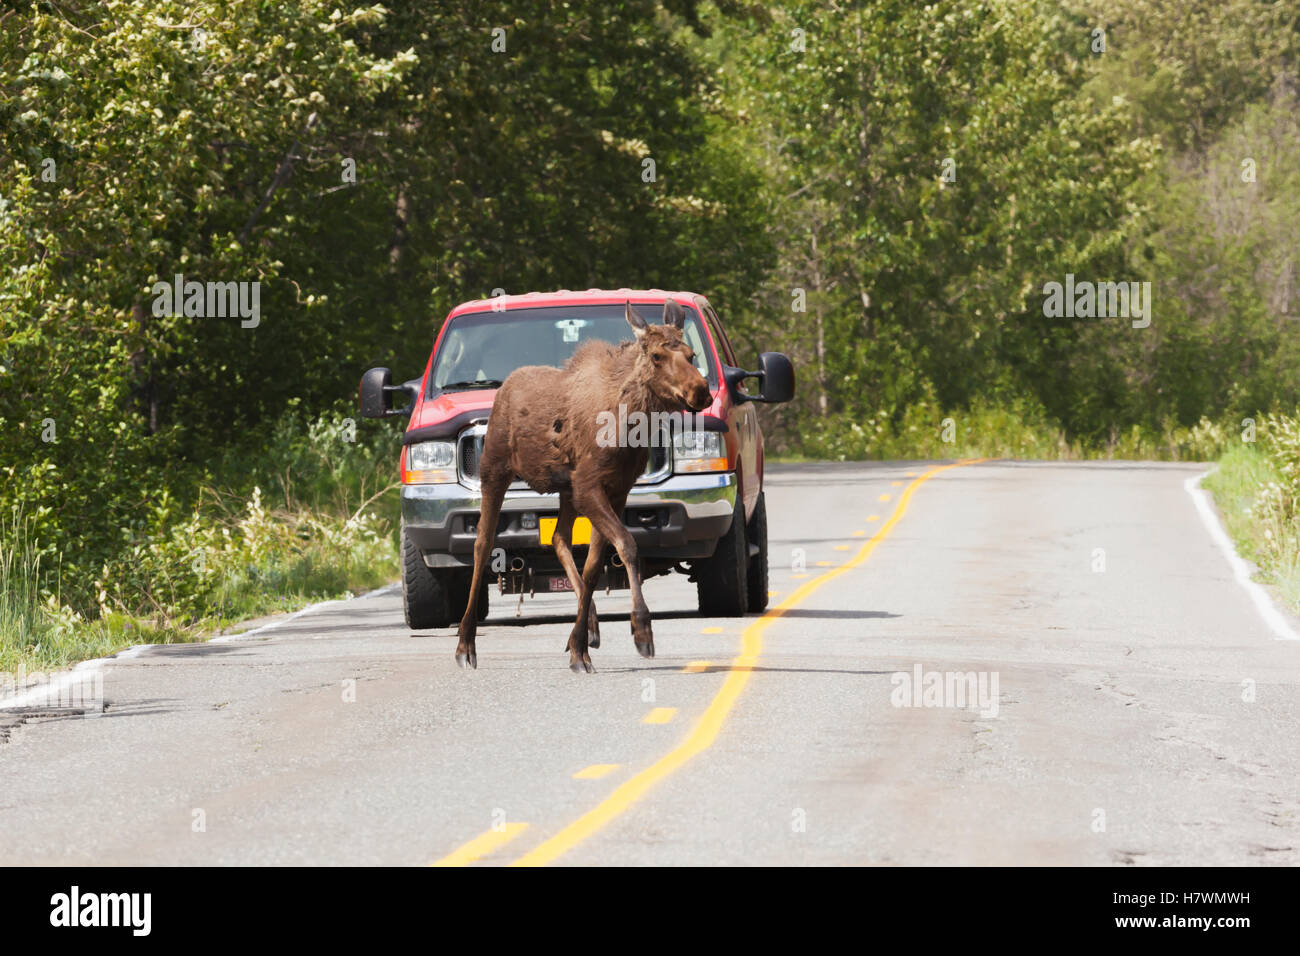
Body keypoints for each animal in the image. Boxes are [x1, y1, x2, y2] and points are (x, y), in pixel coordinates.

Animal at [455, 298, 713, 672]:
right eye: (656, 356)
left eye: (691, 354)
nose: (701, 391)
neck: (628, 425)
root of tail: (503, 387)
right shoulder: (590, 485)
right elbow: (628, 545)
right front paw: (641, 630)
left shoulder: (616, 488)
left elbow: (593, 566)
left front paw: (579, 648)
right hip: (495, 471)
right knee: (482, 544)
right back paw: (465, 643)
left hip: (565, 489)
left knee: (559, 538)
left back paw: (587, 627)